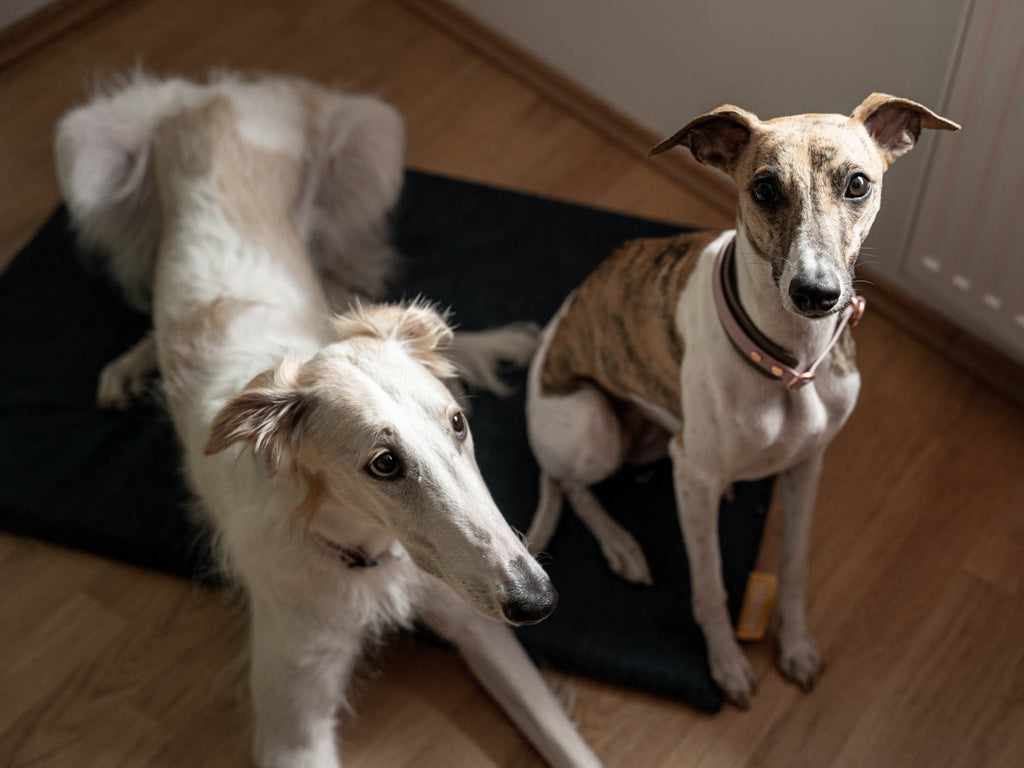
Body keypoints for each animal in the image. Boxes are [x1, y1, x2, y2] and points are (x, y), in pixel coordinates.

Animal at [54, 73, 598, 768]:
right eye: (384, 464)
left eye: (456, 424)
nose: (538, 601)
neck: (368, 554)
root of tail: (213, 93)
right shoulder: (295, 718)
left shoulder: (477, 622)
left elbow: (573, 748)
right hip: (87, 153)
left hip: (372, 145)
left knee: (347, 294)